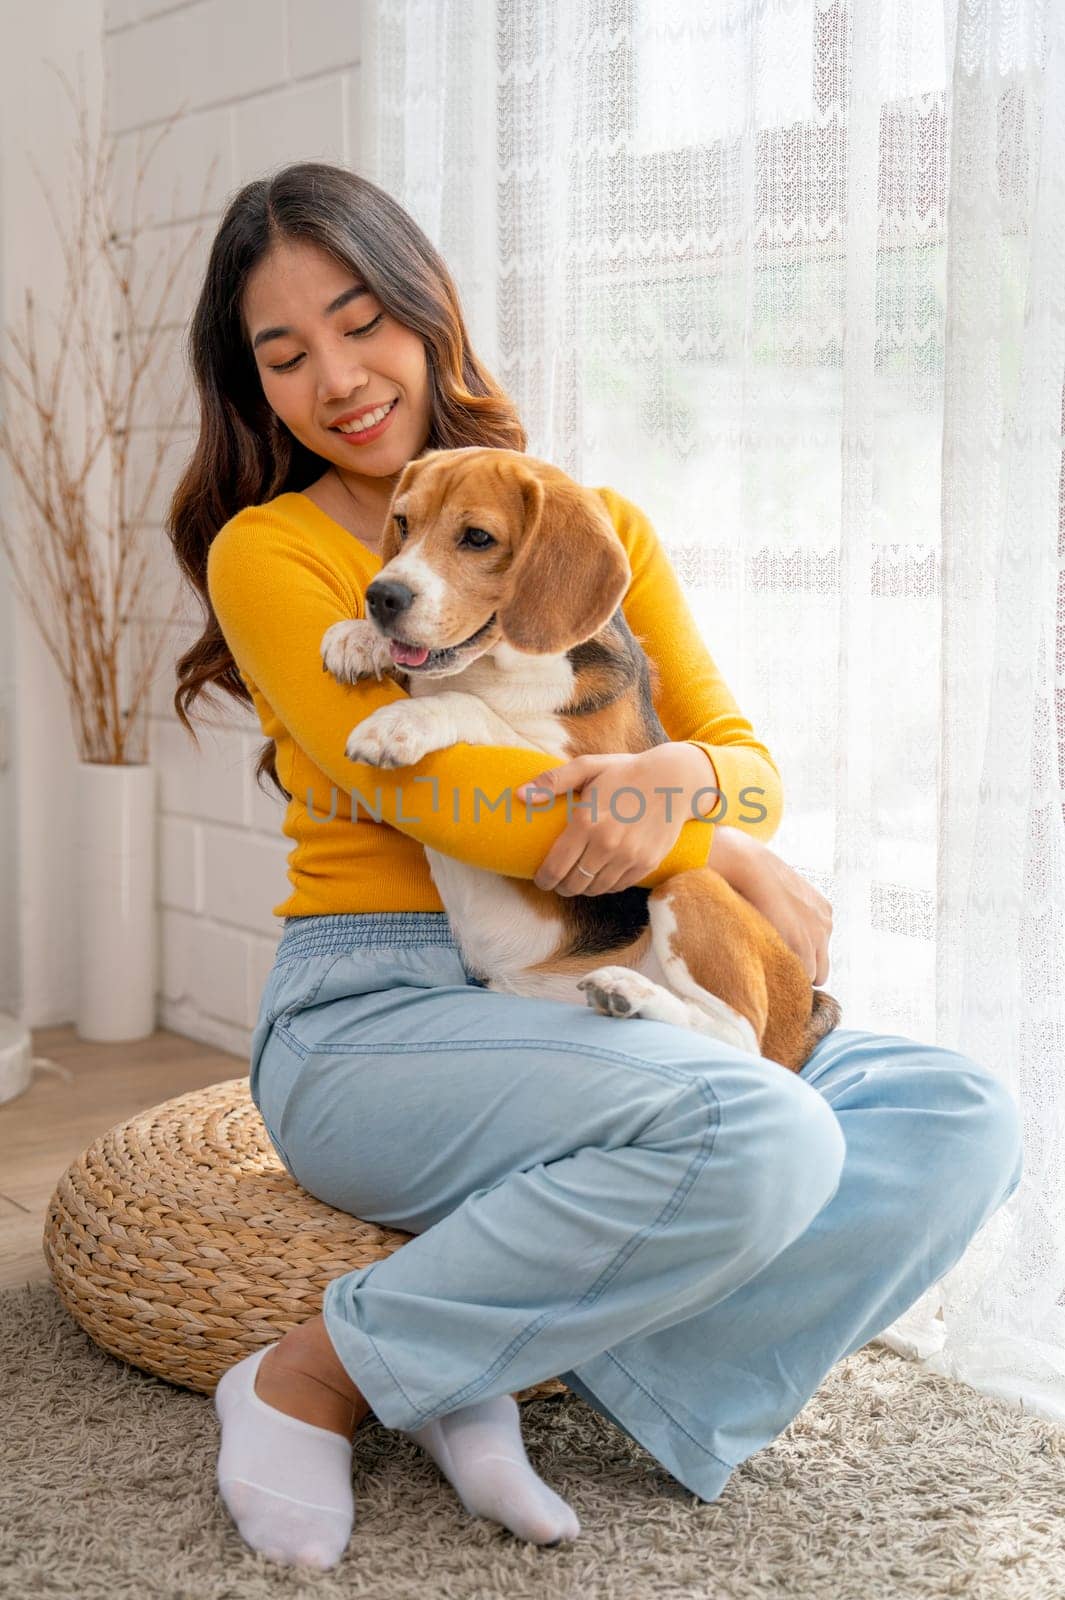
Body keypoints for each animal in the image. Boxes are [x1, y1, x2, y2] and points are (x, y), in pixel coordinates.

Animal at [316, 451, 837, 1075]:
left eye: (477, 537)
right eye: (402, 522)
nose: (382, 597)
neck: (498, 663)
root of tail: (810, 1015)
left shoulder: (570, 767)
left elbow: (464, 704)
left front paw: (400, 722)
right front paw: (357, 638)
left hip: (690, 887)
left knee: (737, 1037)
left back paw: (631, 993)